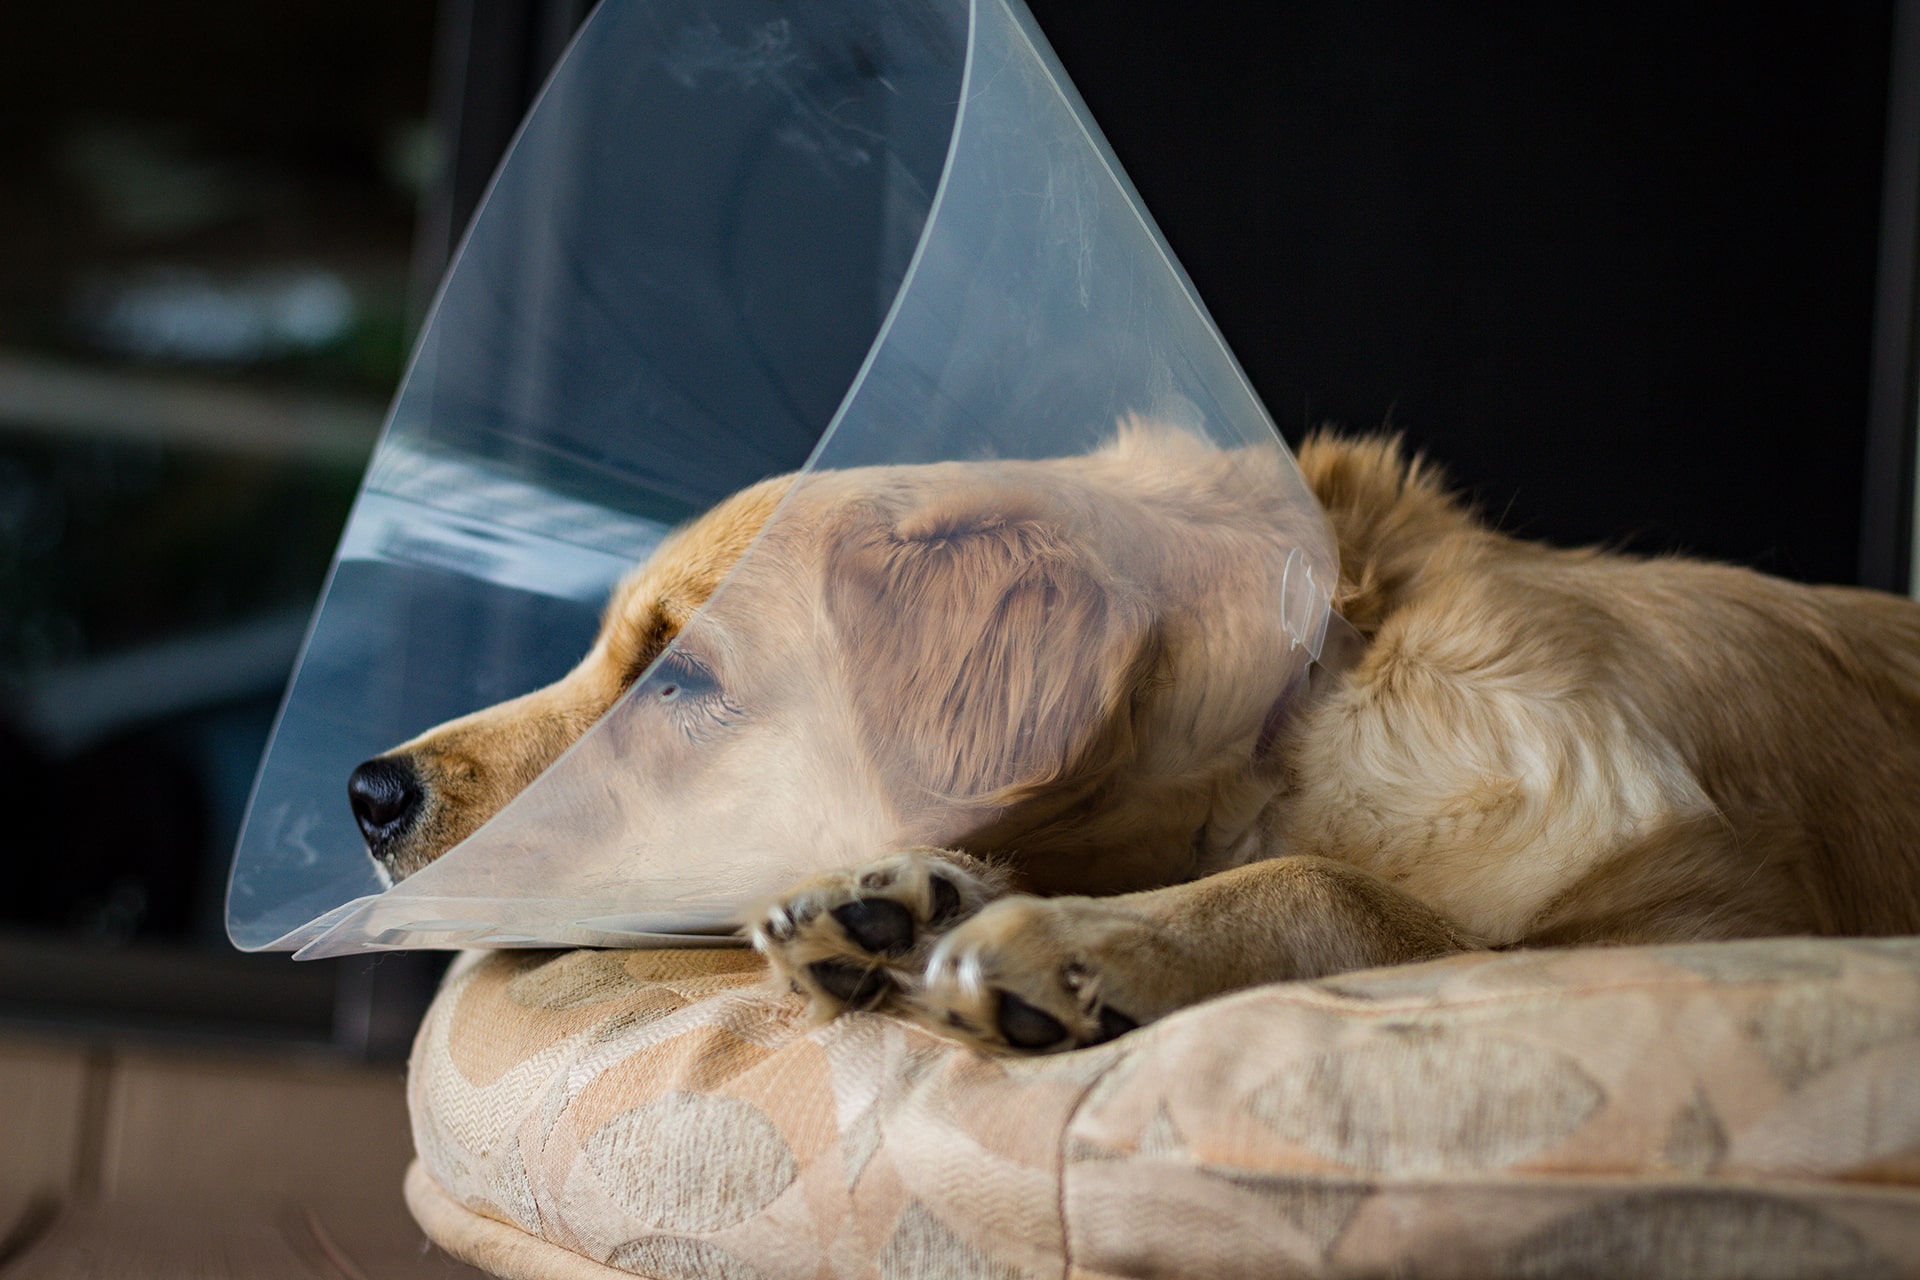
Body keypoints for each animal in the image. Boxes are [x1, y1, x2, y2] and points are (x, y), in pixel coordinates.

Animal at [345, 427, 1920, 1051]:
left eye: (677, 676)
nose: (366, 789)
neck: (1298, 717)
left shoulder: (1710, 921)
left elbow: (1327, 883)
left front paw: (1066, 942)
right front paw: (906, 897)